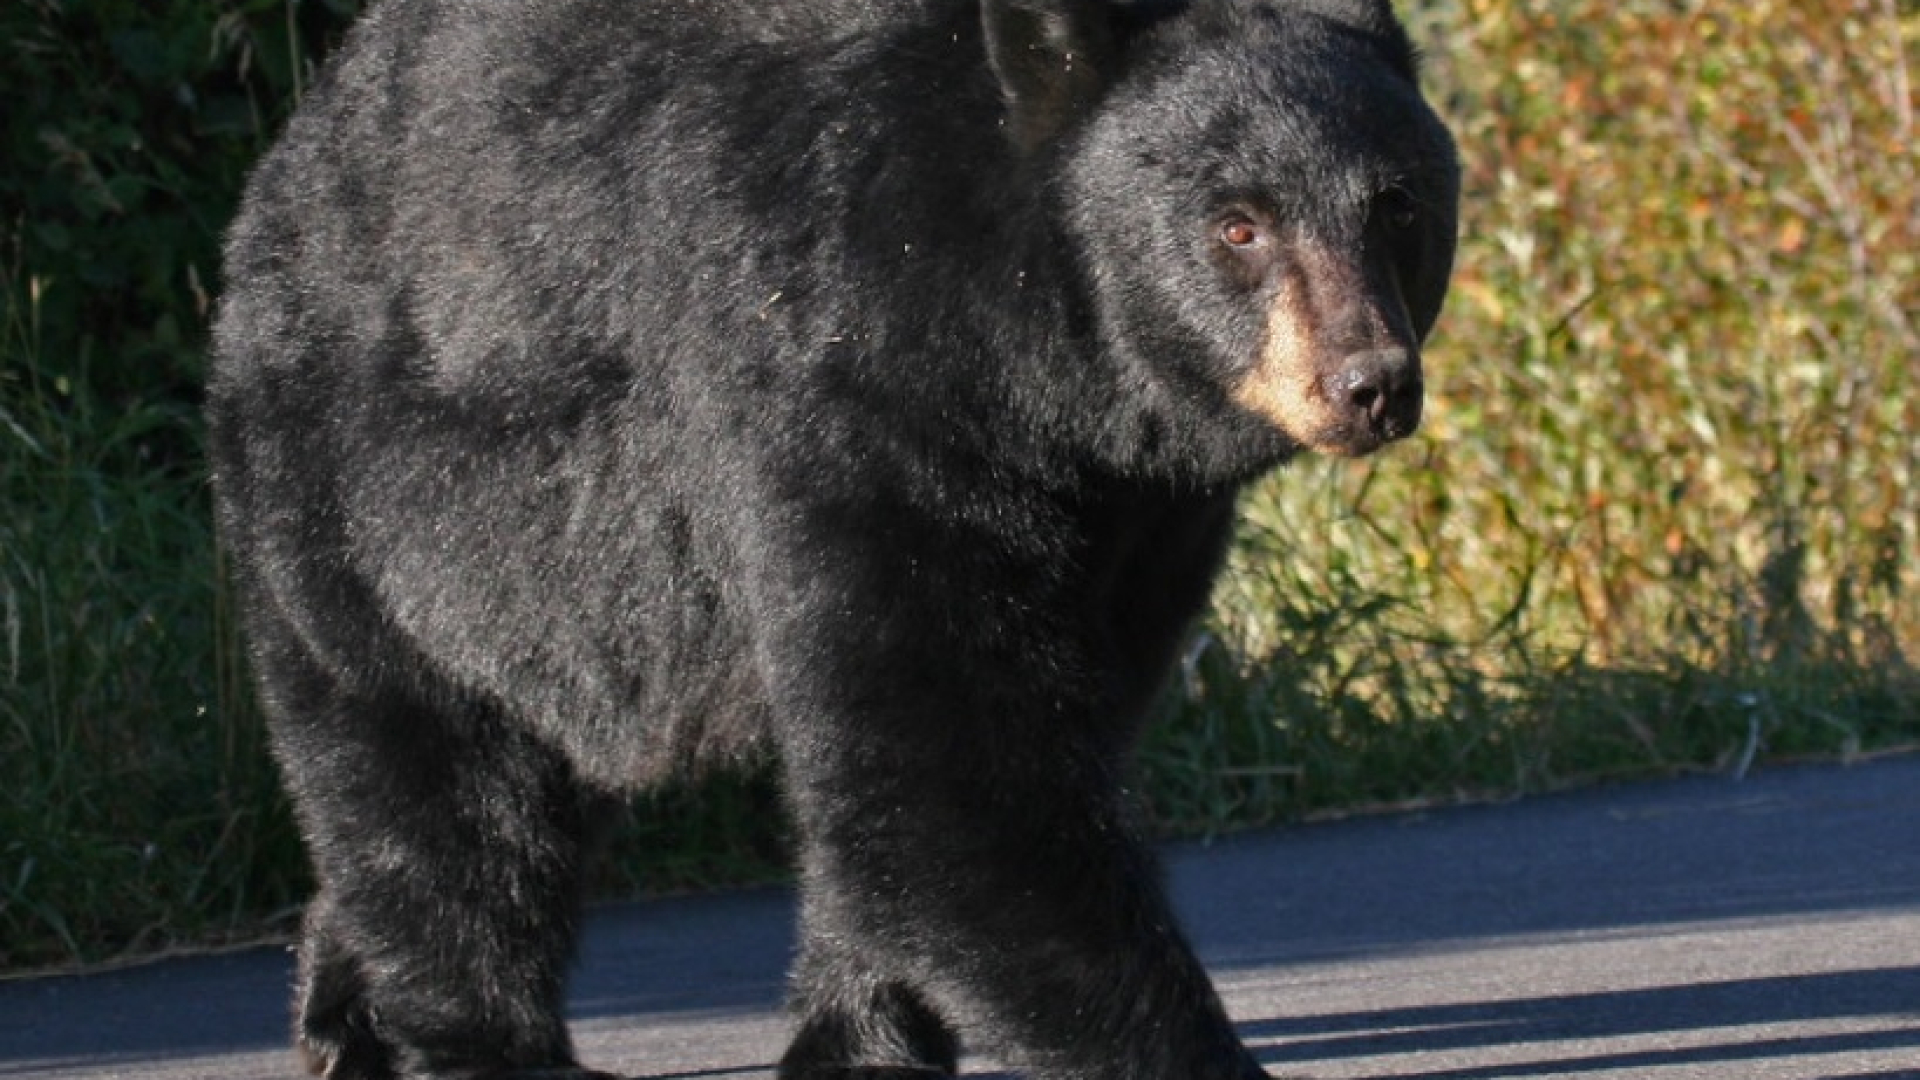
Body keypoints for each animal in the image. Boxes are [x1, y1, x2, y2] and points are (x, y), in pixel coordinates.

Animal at [206, 2, 1451, 1076]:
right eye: (1238, 222)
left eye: (1396, 202)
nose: (1369, 383)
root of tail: (279, 176)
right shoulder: (855, 405)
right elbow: (947, 761)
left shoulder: (1140, 519)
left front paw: (861, 1040)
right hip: (375, 508)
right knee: (442, 788)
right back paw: (484, 1043)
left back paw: (340, 1012)